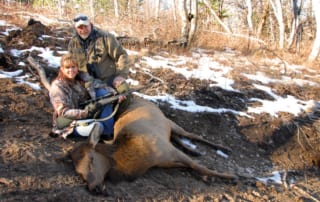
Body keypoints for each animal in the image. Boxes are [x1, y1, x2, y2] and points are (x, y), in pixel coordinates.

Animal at [69, 96, 236, 194]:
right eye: (78, 171)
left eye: (91, 159)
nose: (93, 188)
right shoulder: (165, 161)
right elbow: (190, 167)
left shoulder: (169, 151)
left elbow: (199, 167)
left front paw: (229, 177)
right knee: (176, 137)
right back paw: (193, 150)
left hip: (170, 121)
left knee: (191, 135)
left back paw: (223, 148)